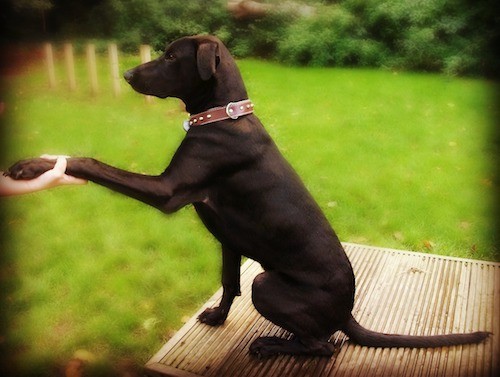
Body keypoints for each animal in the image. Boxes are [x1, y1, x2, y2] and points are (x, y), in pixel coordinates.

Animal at [5, 34, 490, 356]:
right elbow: (227, 281)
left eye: (170, 56)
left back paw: (271, 345)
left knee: (323, 345)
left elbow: (94, 163)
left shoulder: (167, 191)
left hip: (269, 285)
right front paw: (218, 318)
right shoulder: (228, 237)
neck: (222, 116)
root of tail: (346, 313)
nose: (125, 73)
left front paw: (34, 166)